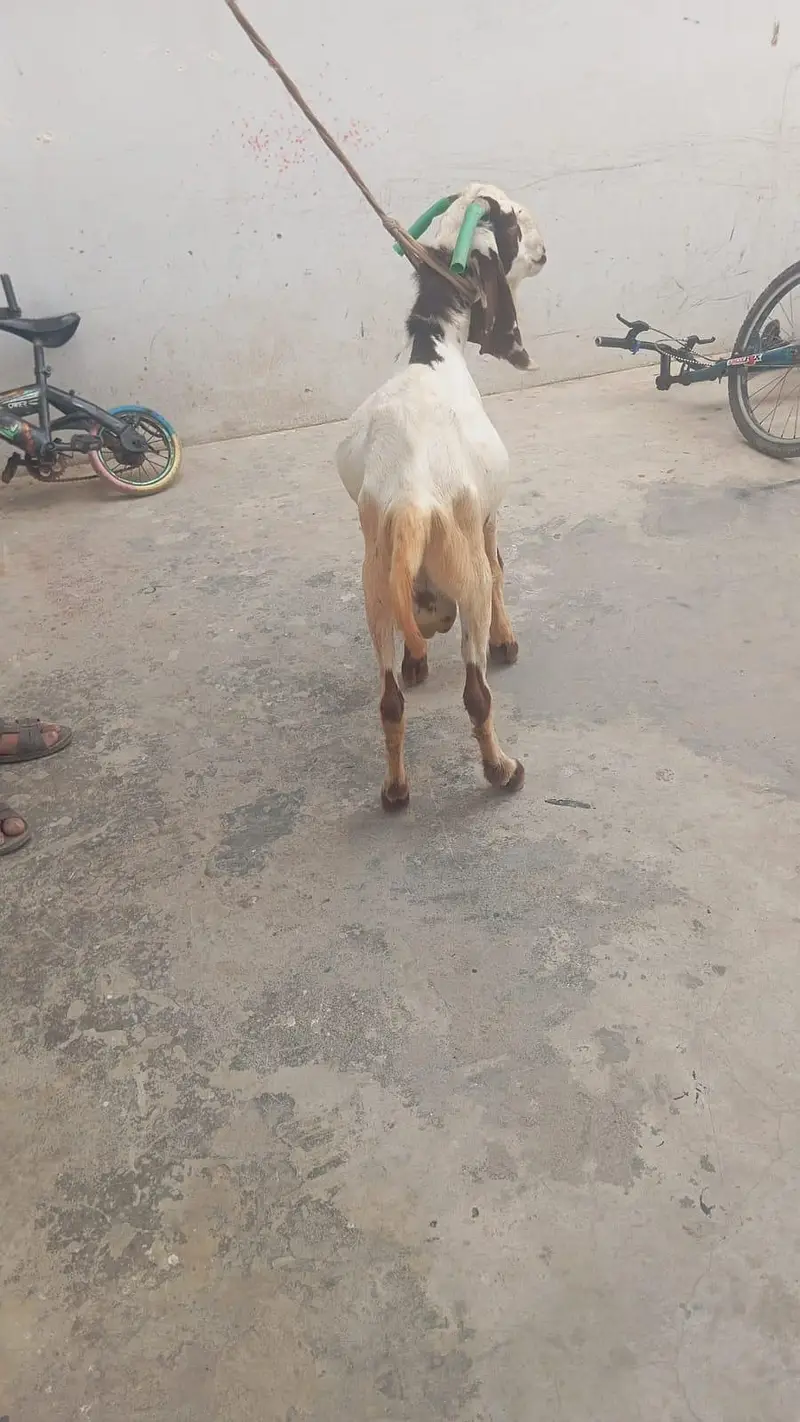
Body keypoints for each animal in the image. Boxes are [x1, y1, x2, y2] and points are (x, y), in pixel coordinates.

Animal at [336, 183, 546, 810]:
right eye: (512, 222)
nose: (544, 250)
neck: (432, 355)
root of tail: (410, 504)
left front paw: (419, 660)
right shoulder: (488, 516)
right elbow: (501, 568)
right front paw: (508, 641)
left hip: (376, 593)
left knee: (389, 700)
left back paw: (396, 789)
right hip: (465, 582)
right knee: (476, 694)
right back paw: (503, 770)